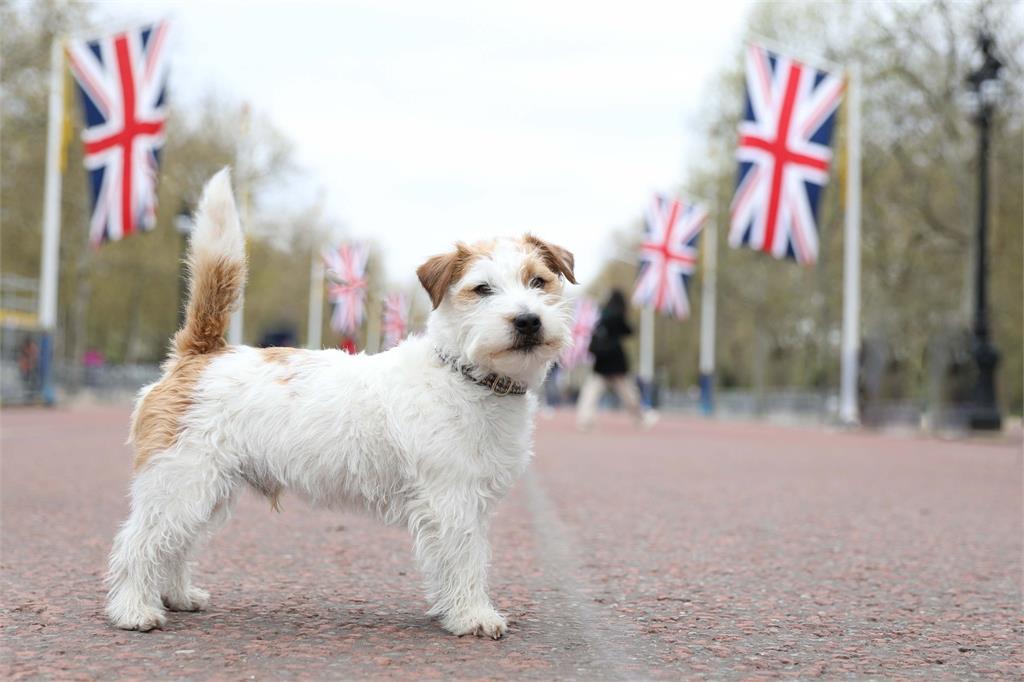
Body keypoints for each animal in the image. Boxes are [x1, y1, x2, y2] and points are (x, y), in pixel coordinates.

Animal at [108, 169, 581, 638]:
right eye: (482, 288)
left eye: (538, 281)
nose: (527, 320)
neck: (464, 374)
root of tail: (202, 353)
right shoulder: (452, 502)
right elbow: (466, 562)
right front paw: (473, 616)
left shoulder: (471, 503)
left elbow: (467, 560)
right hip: (181, 483)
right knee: (139, 543)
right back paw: (134, 610)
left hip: (207, 492)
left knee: (173, 545)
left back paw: (177, 596)